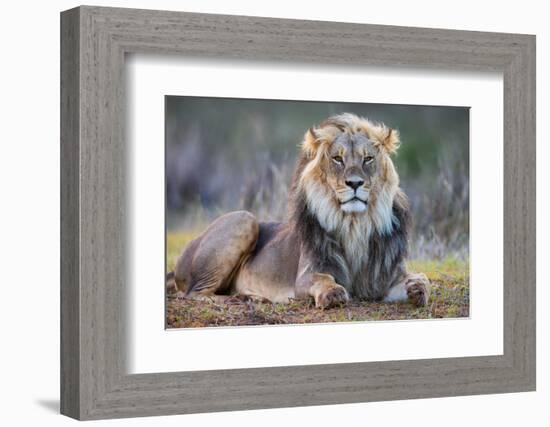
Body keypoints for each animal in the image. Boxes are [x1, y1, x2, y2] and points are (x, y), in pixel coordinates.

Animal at [168, 113, 432, 308]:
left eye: (368, 159)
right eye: (338, 159)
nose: (355, 183)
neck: (355, 224)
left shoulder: (384, 278)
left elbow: (420, 279)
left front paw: (417, 288)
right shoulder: (307, 274)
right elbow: (322, 279)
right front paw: (333, 293)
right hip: (245, 218)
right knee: (193, 293)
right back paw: (241, 299)